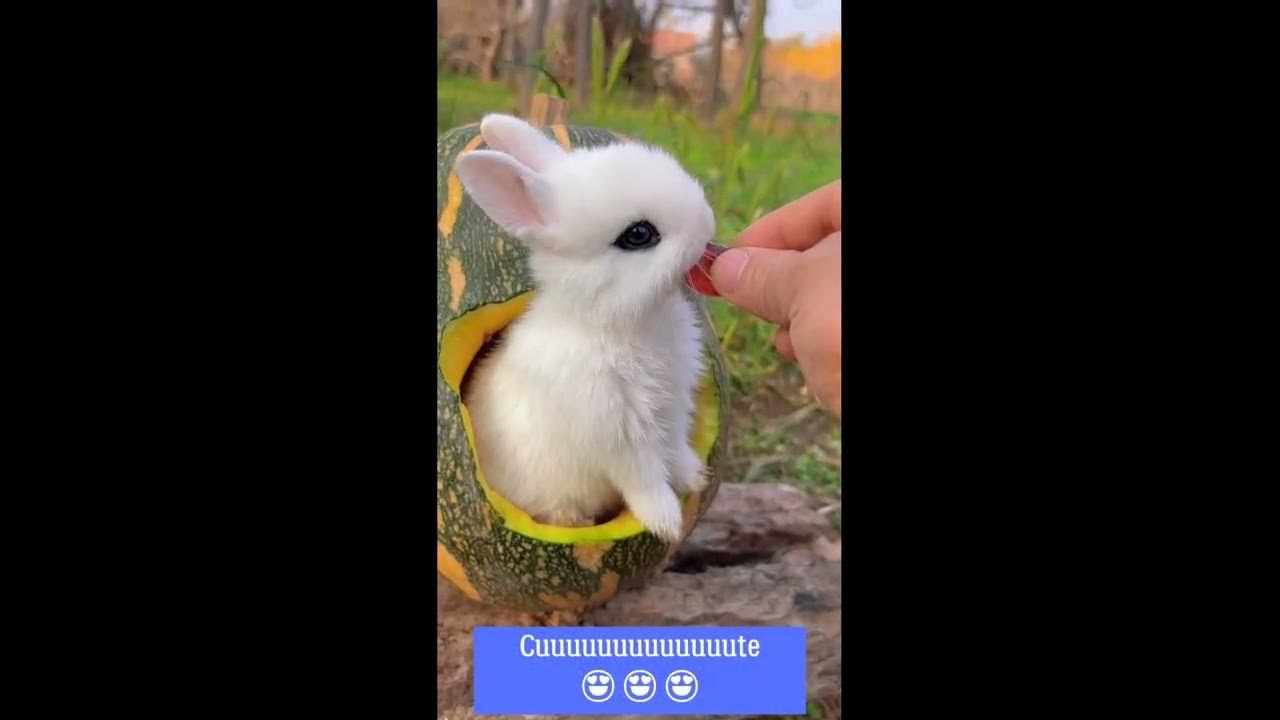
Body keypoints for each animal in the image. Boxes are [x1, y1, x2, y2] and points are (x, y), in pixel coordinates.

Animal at [453, 113, 716, 543]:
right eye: (638, 234)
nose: (707, 223)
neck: (618, 323)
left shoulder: (673, 409)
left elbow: (675, 449)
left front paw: (695, 477)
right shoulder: (618, 435)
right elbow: (645, 480)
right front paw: (667, 523)